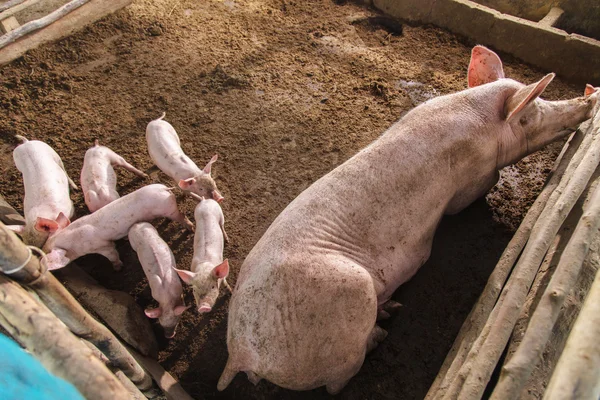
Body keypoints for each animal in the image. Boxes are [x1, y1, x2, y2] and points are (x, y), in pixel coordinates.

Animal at [42, 184, 192, 272]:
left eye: (48, 252)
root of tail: (164, 188)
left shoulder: (103, 246)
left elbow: (112, 255)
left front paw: (117, 269)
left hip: (170, 209)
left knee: (182, 216)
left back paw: (190, 228)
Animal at [219, 47, 600, 394]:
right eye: (533, 111)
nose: (590, 101)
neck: (477, 115)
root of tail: (240, 353)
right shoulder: (471, 180)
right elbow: (474, 195)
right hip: (348, 294)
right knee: (338, 380)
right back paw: (383, 327)